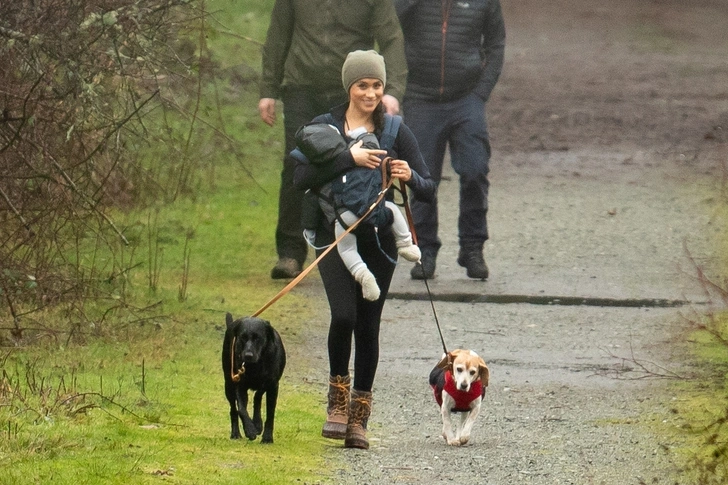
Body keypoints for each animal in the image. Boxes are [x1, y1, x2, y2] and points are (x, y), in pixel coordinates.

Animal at [223, 314, 286, 442]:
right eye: (242, 337)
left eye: (258, 338)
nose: (248, 355)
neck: (256, 365)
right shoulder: (239, 384)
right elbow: (241, 409)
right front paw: (250, 430)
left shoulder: (273, 385)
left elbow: (269, 412)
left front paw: (267, 437)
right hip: (228, 384)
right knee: (233, 409)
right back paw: (236, 433)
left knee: (257, 397)